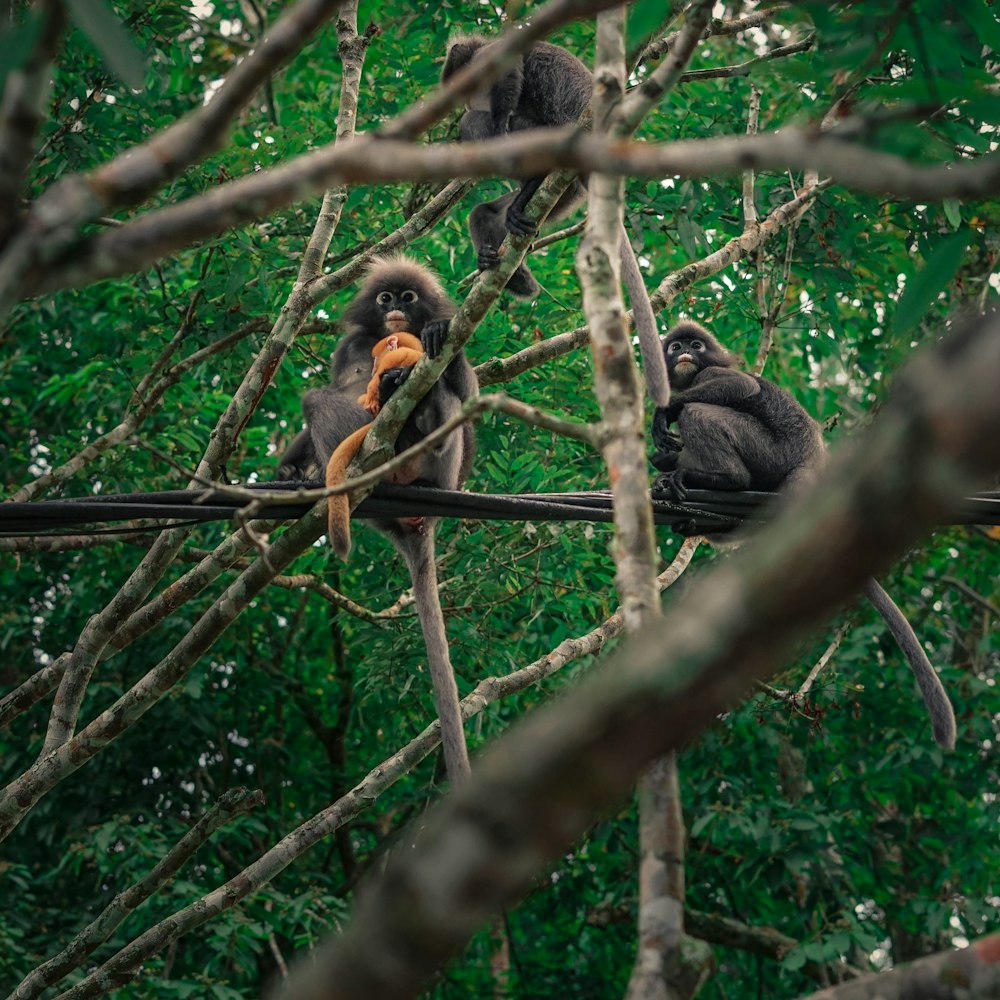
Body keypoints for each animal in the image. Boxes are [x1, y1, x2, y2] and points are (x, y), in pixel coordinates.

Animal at [442, 32, 668, 406]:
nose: (466, 100)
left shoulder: (491, 57)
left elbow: (510, 77)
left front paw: (496, 120)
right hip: (568, 191)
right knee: (488, 211)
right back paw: (509, 264)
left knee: (475, 123)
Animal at [652, 320, 956, 752]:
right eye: (675, 347)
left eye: (695, 345)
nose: (685, 354)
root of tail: (810, 470)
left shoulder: (710, 375)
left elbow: (741, 387)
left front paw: (663, 414)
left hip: (768, 453)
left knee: (702, 412)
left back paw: (721, 478)